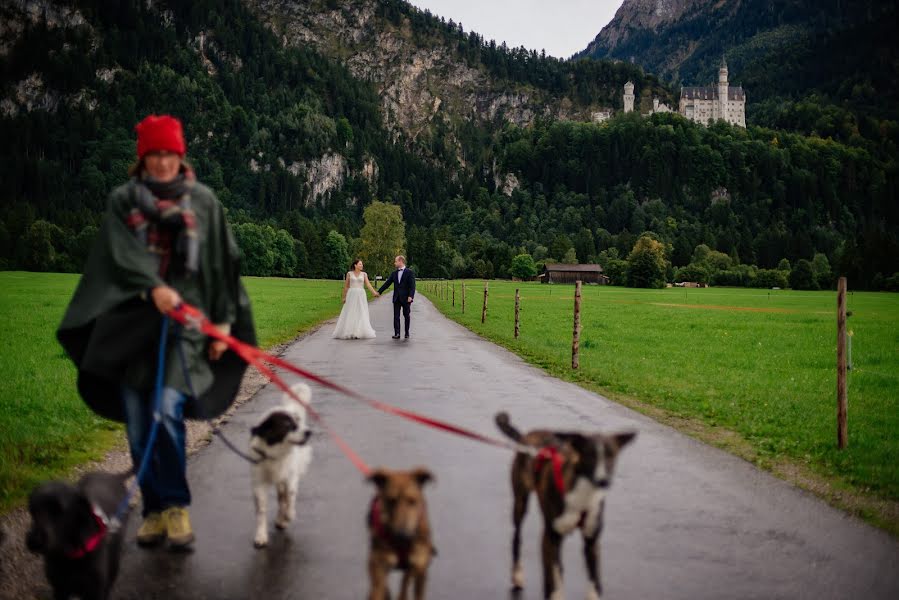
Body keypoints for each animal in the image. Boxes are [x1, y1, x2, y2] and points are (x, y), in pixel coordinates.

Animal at [26, 472, 131, 600]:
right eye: (33, 511)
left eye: (59, 511)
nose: (34, 542)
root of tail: (115, 476)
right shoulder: (59, 589)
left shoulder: (95, 592)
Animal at [250, 382, 312, 548]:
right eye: (288, 425)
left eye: (297, 423)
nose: (309, 432)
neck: (275, 454)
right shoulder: (259, 483)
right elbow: (261, 510)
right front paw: (260, 536)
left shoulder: (290, 476)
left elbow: (289, 496)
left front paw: (289, 515)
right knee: (280, 496)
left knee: (284, 495)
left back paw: (283, 518)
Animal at [366, 468, 436, 600]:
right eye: (391, 501)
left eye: (412, 501)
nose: (402, 535)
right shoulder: (378, 567)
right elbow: (378, 589)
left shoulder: (420, 570)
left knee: (405, 580)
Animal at [496, 412, 636, 600]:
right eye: (589, 455)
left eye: (611, 455)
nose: (604, 481)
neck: (583, 492)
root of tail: (527, 436)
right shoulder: (550, 538)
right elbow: (552, 583)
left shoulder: (592, 541)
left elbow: (594, 582)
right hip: (520, 503)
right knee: (517, 539)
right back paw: (517, 575)